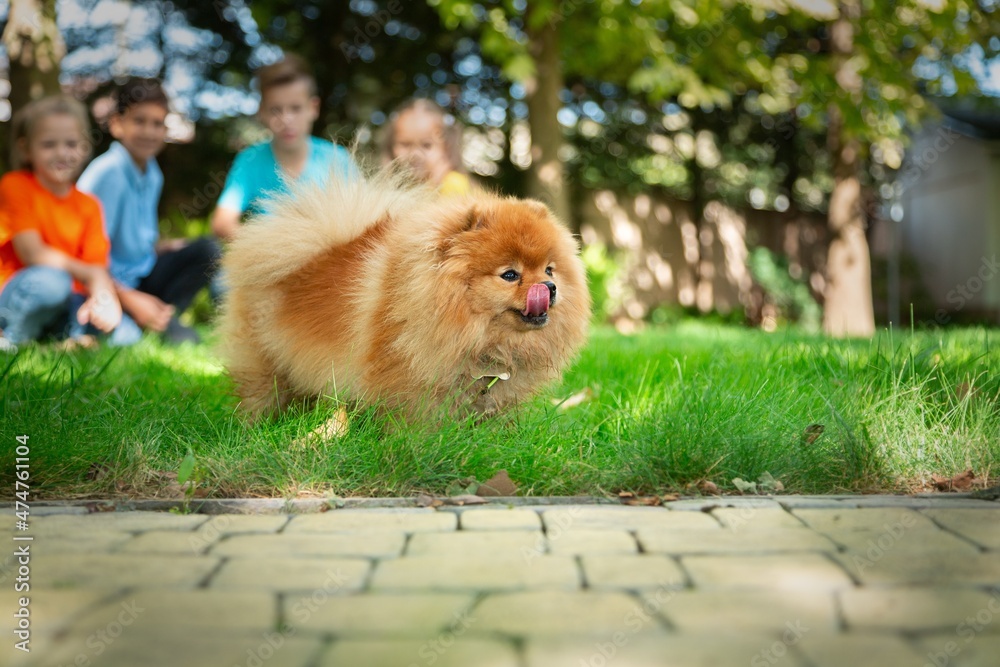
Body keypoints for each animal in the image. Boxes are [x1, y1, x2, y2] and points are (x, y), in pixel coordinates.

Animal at [219, 167, 588, 422]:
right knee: (262, 392)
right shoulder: (408, 381)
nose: (550, 288)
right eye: (510, 275)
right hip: (264, 361)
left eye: (549, 270)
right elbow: (414, 421)